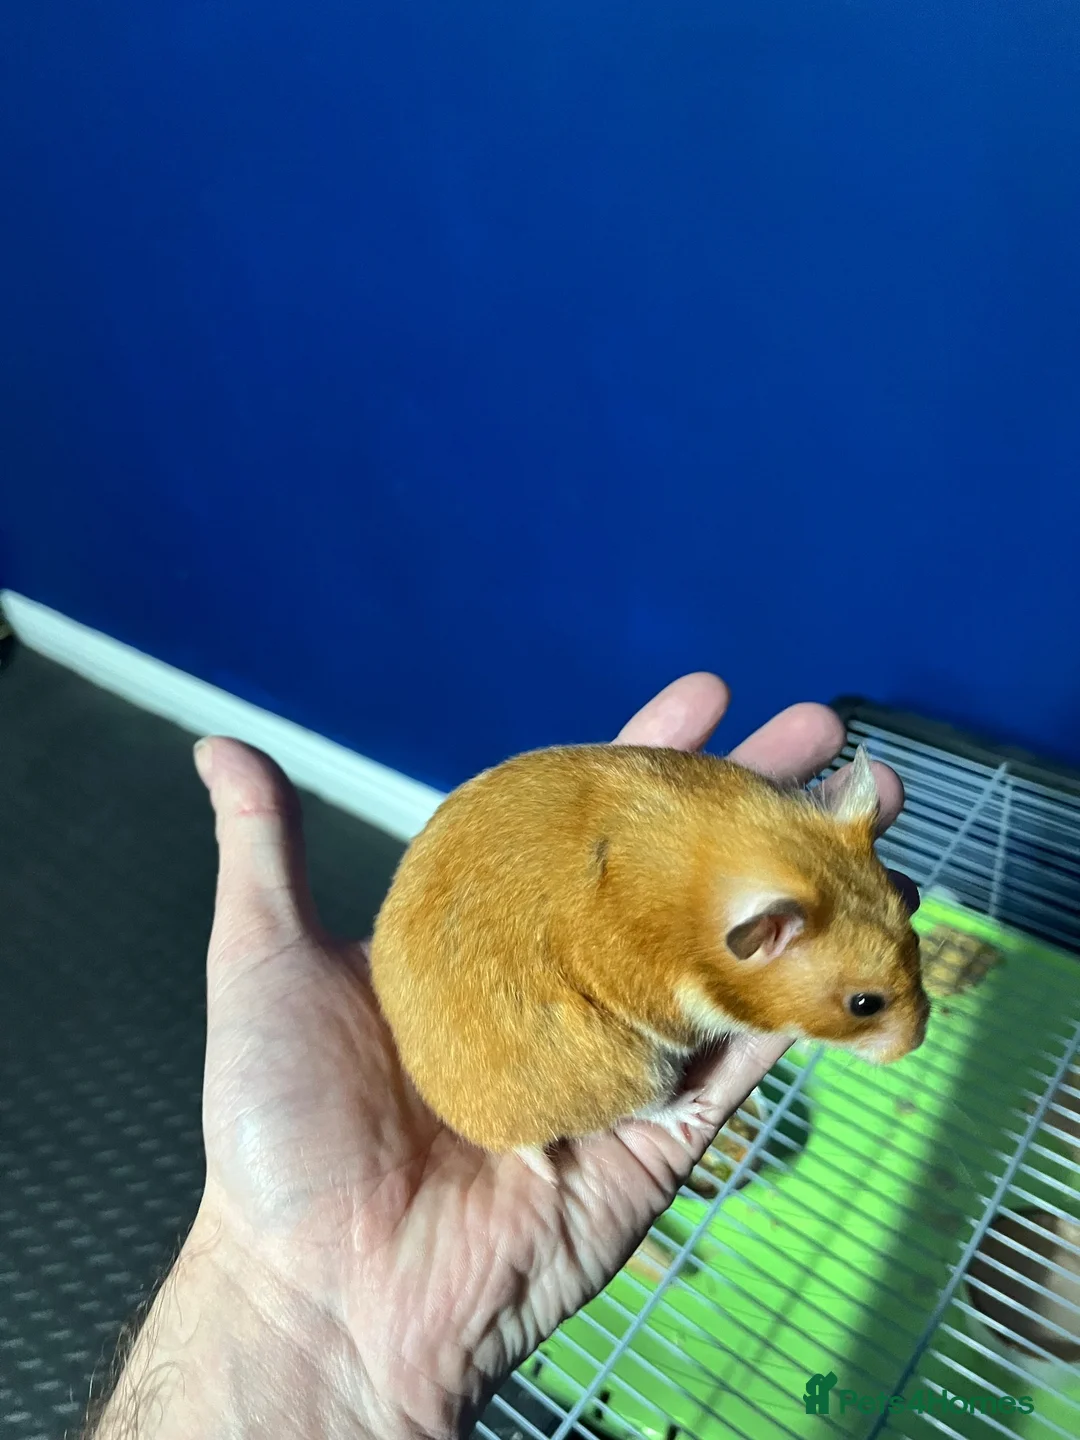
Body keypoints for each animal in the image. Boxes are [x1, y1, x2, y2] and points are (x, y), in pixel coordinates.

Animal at [369, 742, 929, 1172]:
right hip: (630, 1067)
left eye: (916, 943)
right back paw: (692, 1110)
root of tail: (500, 1139)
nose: (918, 1043)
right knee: (632, 1113)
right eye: (864, 1004)